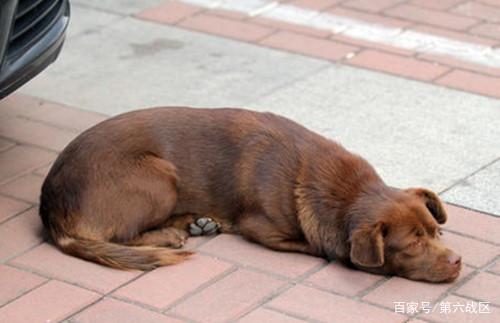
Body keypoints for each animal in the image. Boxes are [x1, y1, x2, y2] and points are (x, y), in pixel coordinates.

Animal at [39, 107, 460, 282]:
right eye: (413, 243)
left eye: (436, 233)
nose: (458, 262)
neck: (344, 190)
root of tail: (50, 209)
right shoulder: (263, 229)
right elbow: (314, 244)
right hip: (160, 176)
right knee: (120, 235)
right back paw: (173, 233)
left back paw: (195, 222)